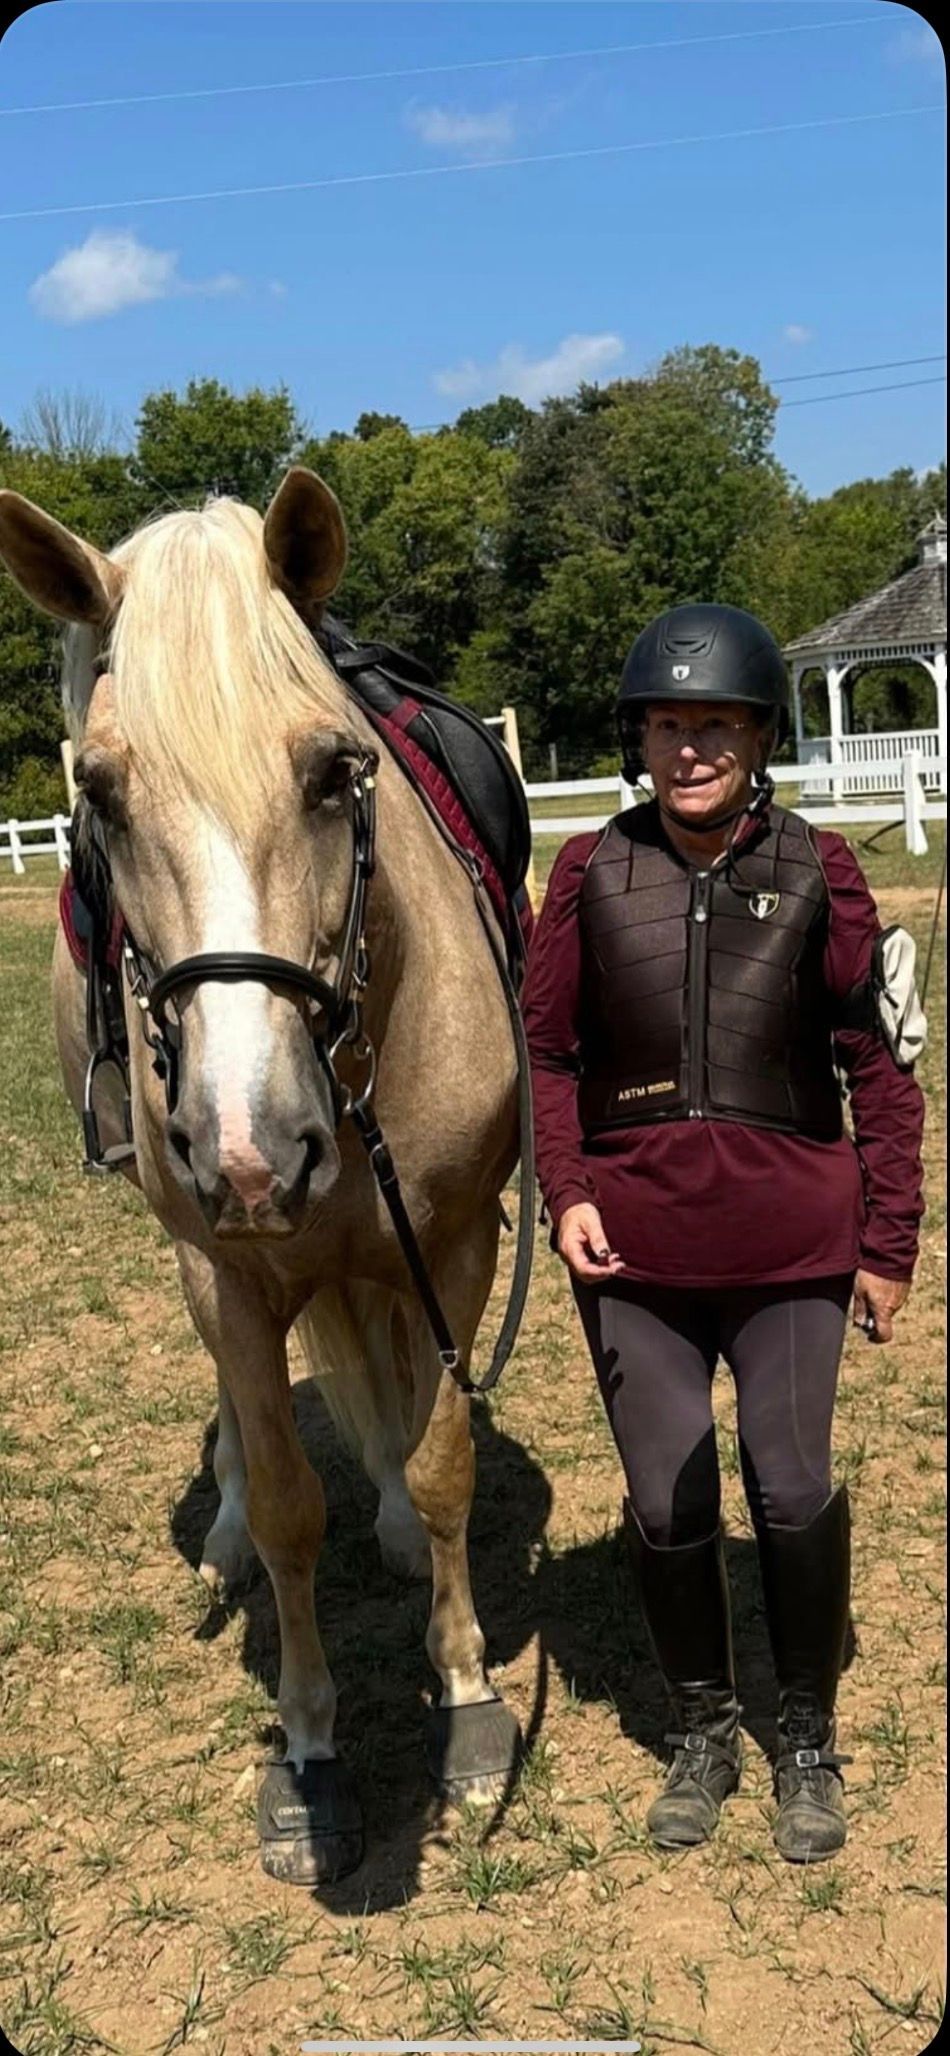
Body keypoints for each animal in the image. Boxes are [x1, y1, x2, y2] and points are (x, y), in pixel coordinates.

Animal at [0, 469, 523, 1885]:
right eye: (100, 794)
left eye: (336, 773)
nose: (248, 1149)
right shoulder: (224, 1271)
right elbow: (294, 1510)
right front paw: (310, 1750)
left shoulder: (455, 1241)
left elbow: (443, 1461)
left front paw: (467, 1704)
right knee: (246, 1420)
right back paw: (228, 1530)